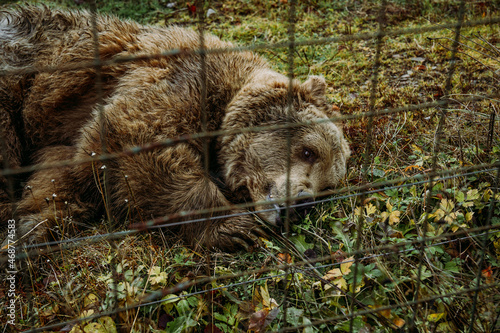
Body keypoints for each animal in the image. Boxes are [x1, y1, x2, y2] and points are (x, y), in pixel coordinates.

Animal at [0, 5, 350, 250]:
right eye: (309, 151)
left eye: (327, 186)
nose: (303, 204)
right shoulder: (175, 80)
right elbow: (134, 138)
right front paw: (234, 229)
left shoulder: (59, 138)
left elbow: (58, 176)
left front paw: (39, 223)